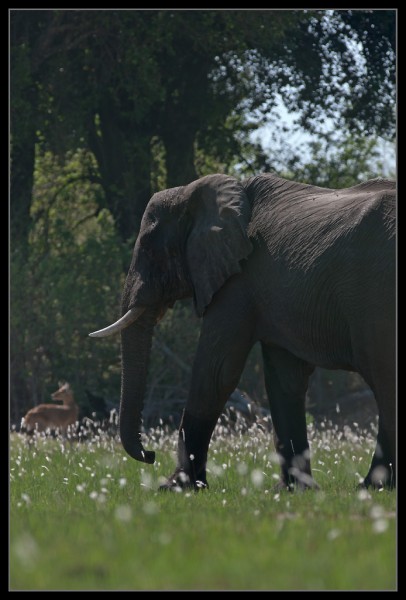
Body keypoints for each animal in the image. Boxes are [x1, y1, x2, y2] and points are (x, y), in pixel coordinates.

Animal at [89, 171, 396, 490]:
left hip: (377, 294)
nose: (149, 454)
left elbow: (216, 372)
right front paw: (292, 490)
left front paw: (176, 487)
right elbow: (284, 380)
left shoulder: (238, 279)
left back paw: (372, 486)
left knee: (383, 377)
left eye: (150, 249)